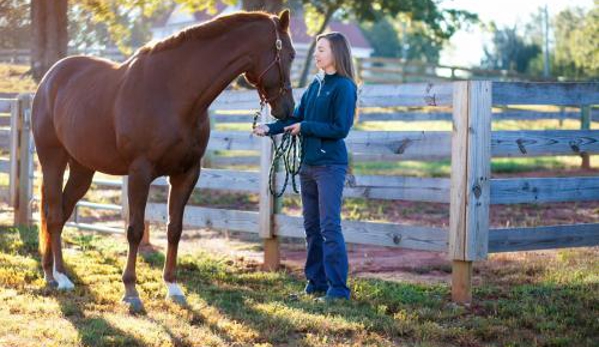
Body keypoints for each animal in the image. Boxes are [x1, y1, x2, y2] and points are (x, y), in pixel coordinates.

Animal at [32, 10, 296, 312]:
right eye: (289, 54)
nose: (288, 109)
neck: (174, 93)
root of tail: (49, 79)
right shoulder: (140, 173)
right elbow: (135, 230)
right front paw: (131, 291)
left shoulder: (186, 173)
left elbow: (174, 229)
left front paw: (172, 286)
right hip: (53, 161)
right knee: (53, 215)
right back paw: (62, 278)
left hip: (82, 170)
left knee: (60, 214)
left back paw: (51, 273)